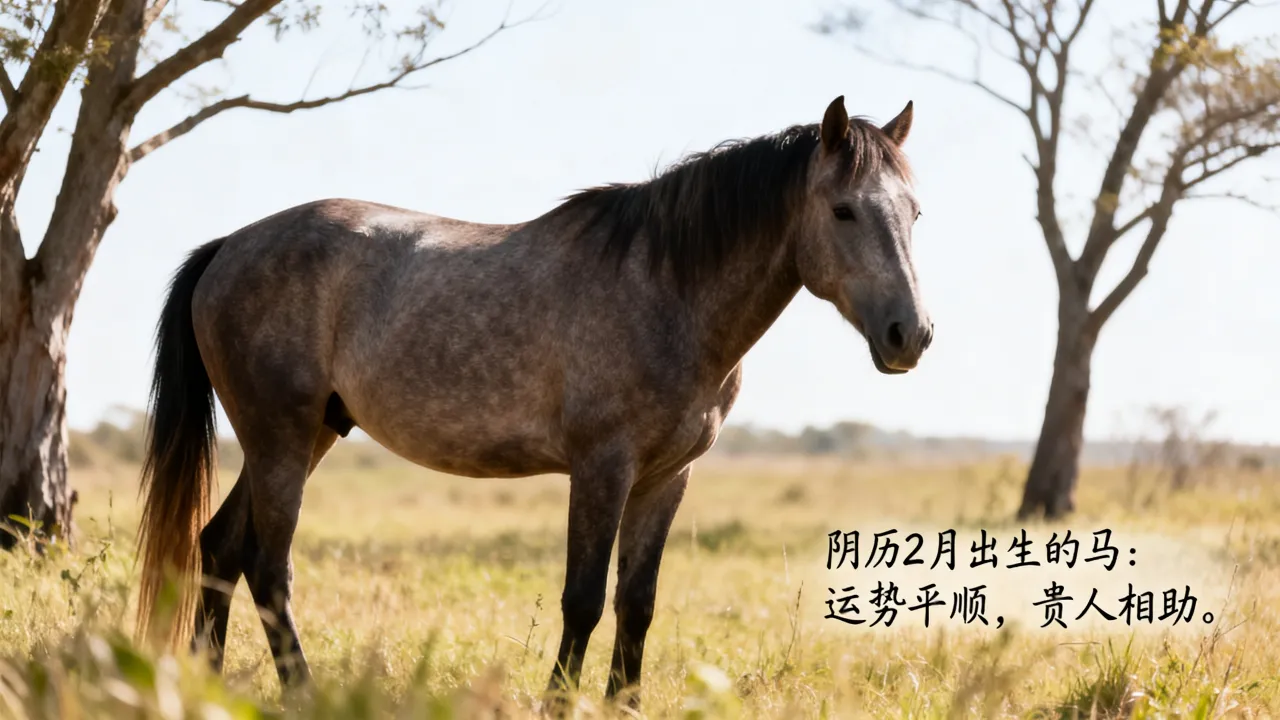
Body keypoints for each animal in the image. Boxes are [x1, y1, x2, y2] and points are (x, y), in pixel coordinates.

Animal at [134, 95, 932, 710]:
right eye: (843, 211)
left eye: (915, 212)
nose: (911, 335)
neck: (667, 289)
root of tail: (229, 246)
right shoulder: (602, 468)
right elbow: (584, 597)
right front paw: (558, 702)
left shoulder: (666, 477)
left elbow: (637, 603)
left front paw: (623, 705)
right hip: (282, 437)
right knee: (268, 566)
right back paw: (302, 695)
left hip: (306, 436)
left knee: (219, 548)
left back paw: (206, 688)